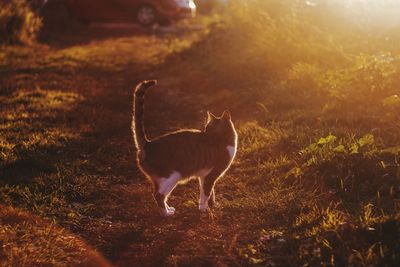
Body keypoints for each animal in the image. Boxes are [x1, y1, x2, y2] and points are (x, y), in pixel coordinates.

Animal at [131, 80, 238, 217]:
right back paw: (166, 213)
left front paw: (212, 205)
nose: (204, 132)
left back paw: (168, 209)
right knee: (158, 195)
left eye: (206, 127)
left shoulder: (204, 176)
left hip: (159, 179)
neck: (217, 136)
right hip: (171, 177)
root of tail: (147, 144)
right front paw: (204, 209)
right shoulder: (212, 175)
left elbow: (209, 193)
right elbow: (206, 193)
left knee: (158, 194)